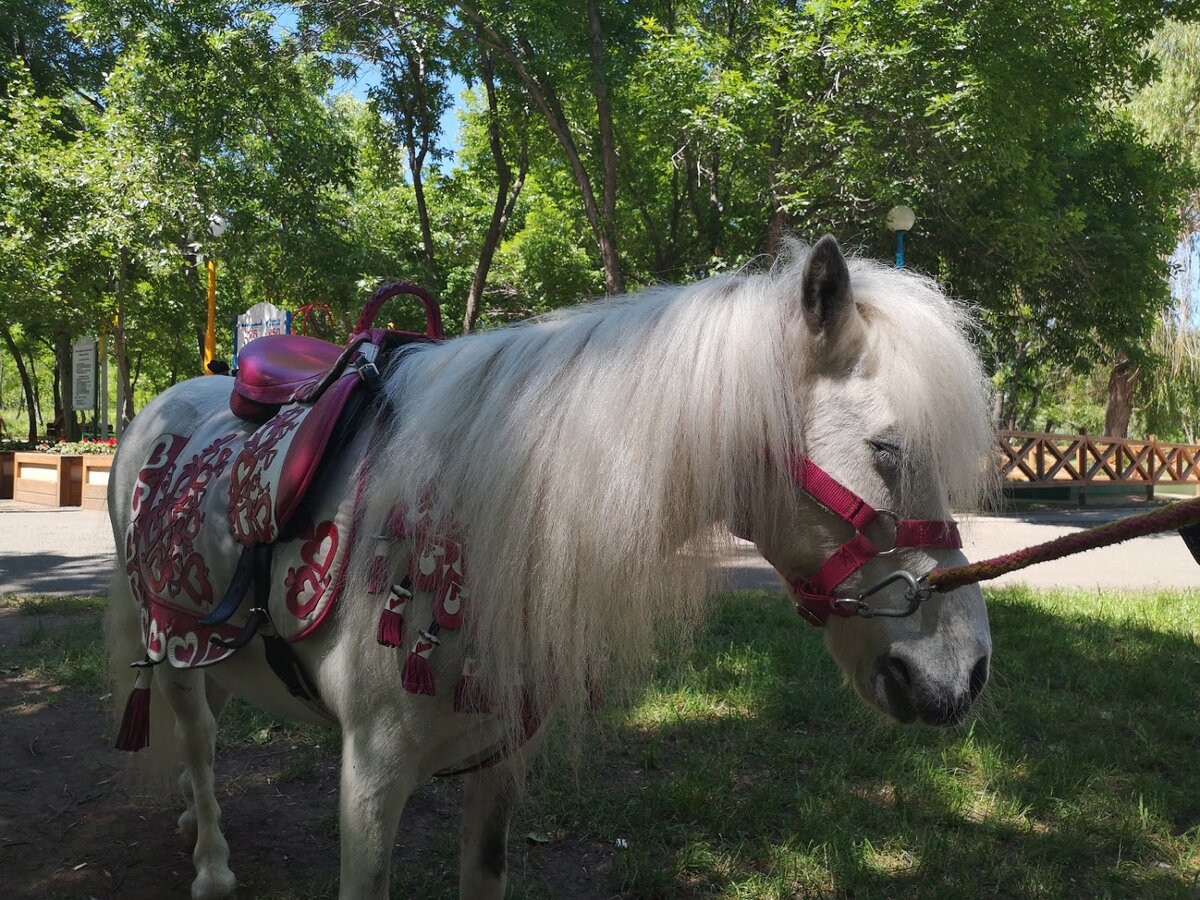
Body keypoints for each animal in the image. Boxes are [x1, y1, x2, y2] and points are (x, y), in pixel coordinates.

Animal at [110, 237, 993, 900]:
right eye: (887, 449)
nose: (965, 672)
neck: (476, 512)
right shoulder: (369, 776)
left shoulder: (499, 764)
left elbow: (485, 875)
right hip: (167, 641)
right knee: (198, 736)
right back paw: (211, 863)